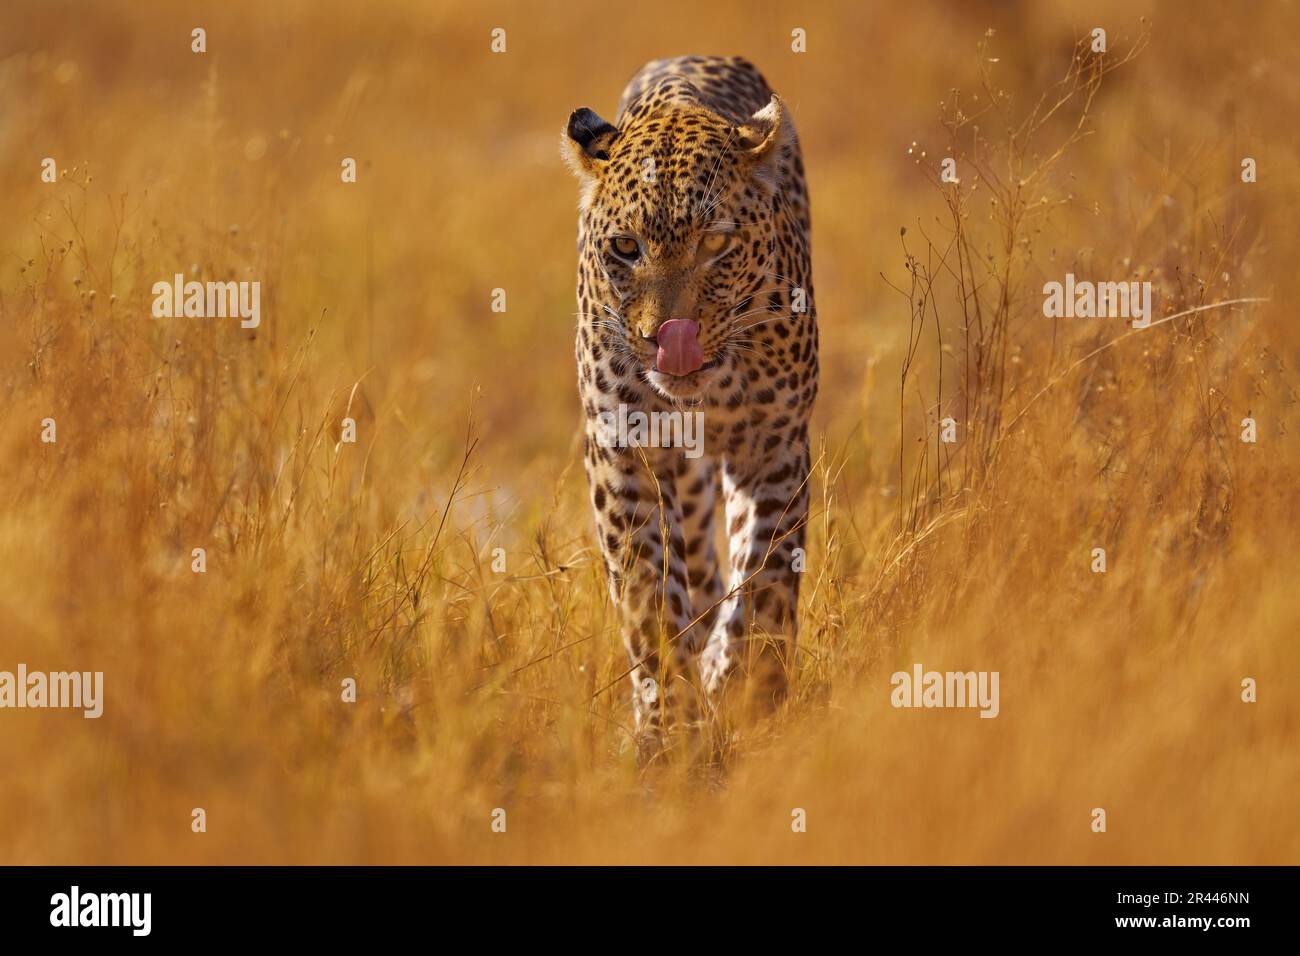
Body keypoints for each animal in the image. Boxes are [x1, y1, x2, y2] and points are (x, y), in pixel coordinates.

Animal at [562, 55, 818, 761]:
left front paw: (745, 684)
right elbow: (649, 596)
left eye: (714, 245)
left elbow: (767, 578)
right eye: (625, 248)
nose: (666, 339)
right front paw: (669, 729)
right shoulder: (623, 451)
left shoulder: (774, 446)